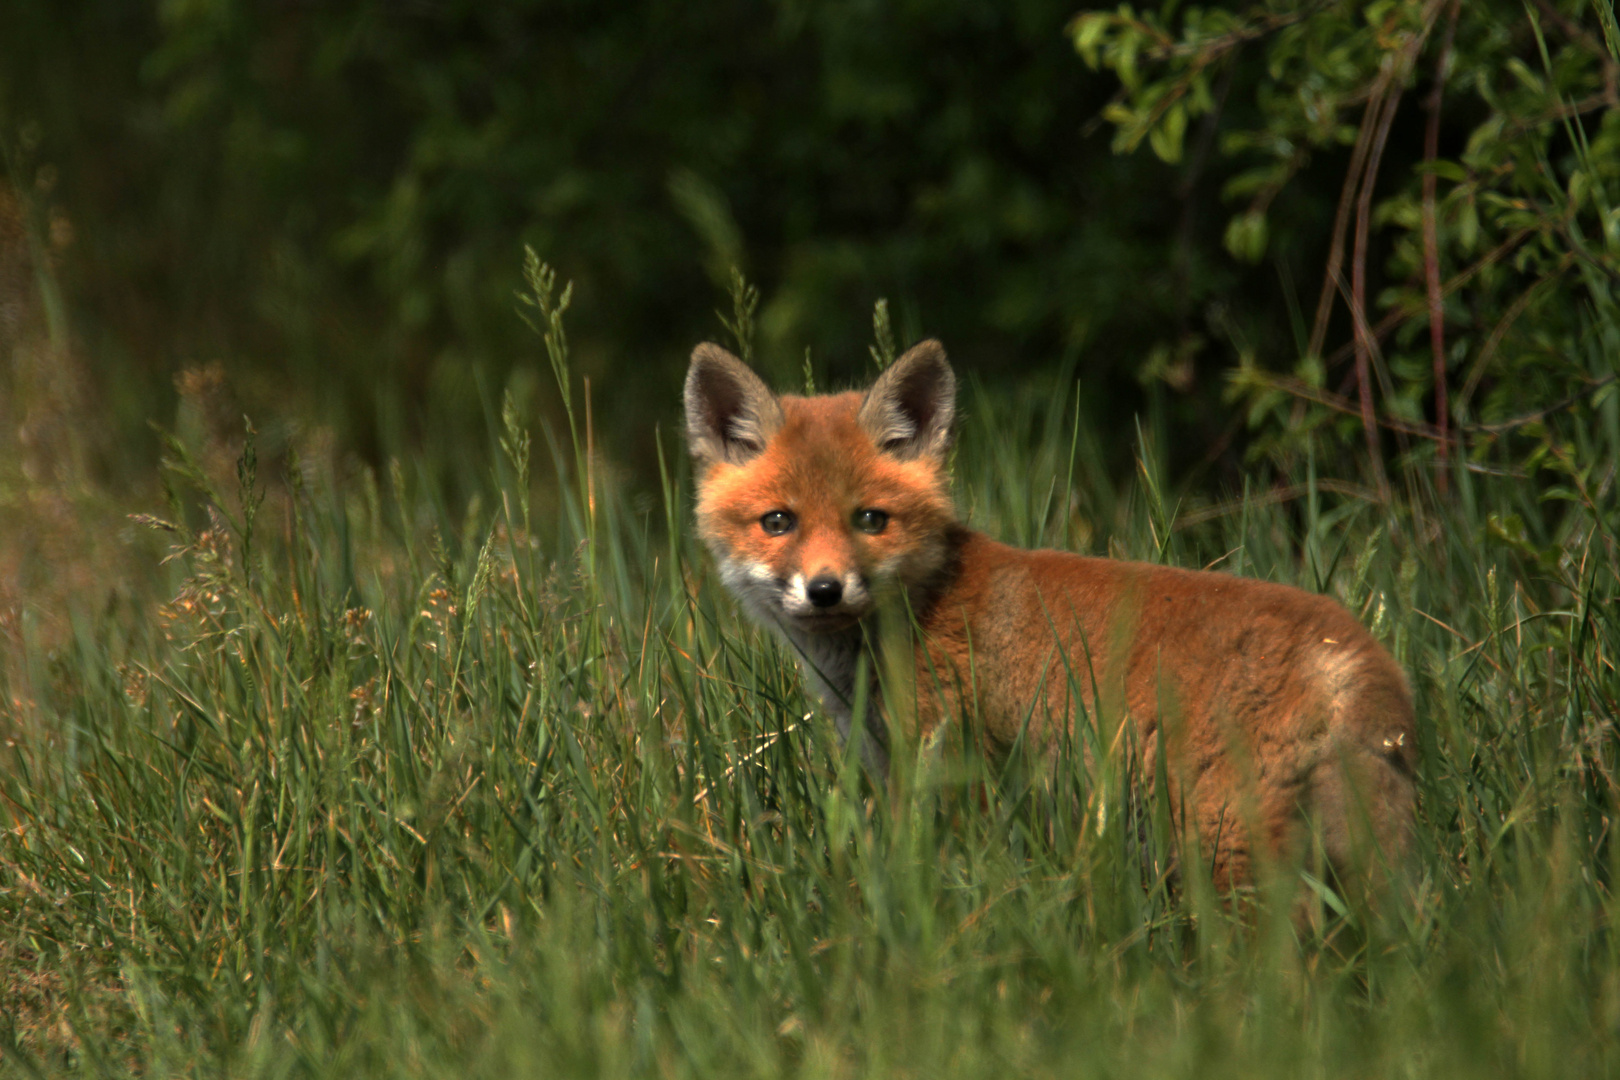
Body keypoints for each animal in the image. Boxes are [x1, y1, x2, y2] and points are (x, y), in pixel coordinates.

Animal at [686, 341, 1419, 893]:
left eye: (869, 520)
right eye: (778, 522)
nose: (826, 589)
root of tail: (1355, 645)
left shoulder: (958, 766)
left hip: (1226, 838)